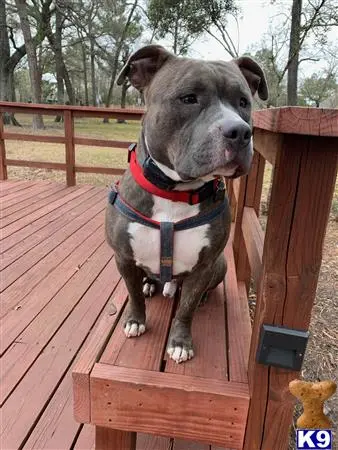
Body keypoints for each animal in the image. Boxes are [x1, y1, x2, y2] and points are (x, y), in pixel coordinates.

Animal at [105, 44, 266, 362]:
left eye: (243, 102)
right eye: (189, 98)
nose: (240, 131)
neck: (175, 192)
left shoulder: (203, 266)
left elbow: (186, 309)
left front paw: (180, 342)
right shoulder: (124, 258)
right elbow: (132, 294)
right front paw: (135, 320)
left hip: (220, 264)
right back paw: (149, 285)